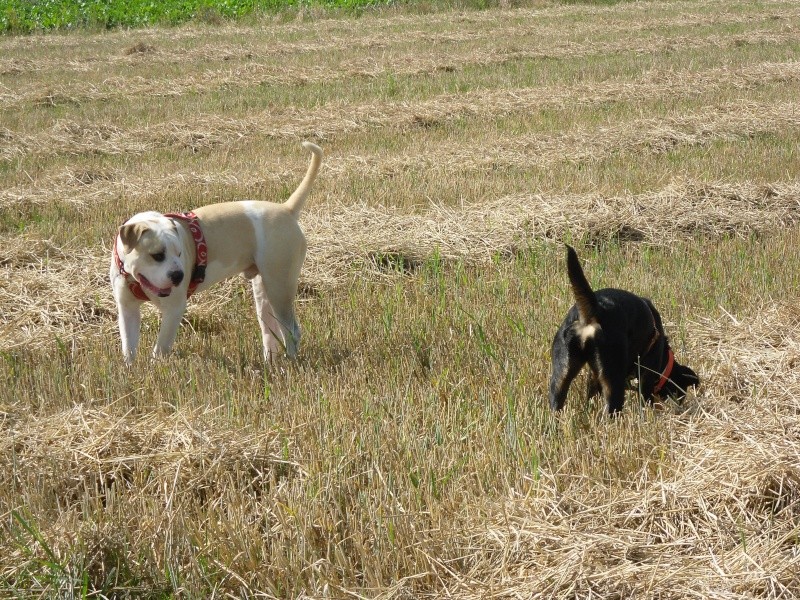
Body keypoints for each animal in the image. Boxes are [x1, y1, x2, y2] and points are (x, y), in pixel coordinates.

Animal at [109, 142, 322, 366]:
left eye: (179, 253)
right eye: (157, 255)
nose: (179, 276)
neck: (133, 278)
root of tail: (286, 209)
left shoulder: (174, 309)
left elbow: (160, 348)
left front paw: (155, 368)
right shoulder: (127, 310)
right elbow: (128, 347)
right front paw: (130, 369)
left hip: (279, 287)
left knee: (291, 331)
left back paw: (290, 363)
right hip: (263, 292)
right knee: (270, 331)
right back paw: (269, 363)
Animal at [552, 244, 700, 412]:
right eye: (681, 392)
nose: (680, 408)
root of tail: (595, 309)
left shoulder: (594, 376)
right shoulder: (646, 378)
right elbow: (646, 400)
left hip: (562, 371)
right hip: (613, 376)